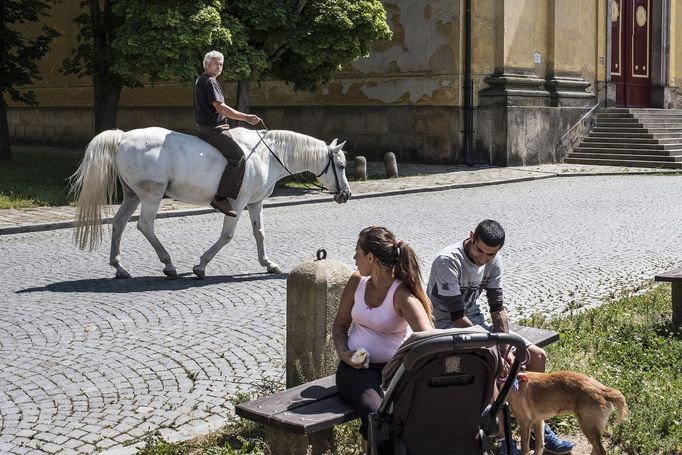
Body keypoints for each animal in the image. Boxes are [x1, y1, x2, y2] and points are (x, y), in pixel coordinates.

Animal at [70, 126, 350, 280]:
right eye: (342, 166)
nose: (346, 194)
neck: (267, 155)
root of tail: (123, 137)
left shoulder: (255, 203)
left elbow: (259, 233)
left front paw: (268, 264)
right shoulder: (238, 204)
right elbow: (226, 236)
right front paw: (201, 266)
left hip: (133, 195)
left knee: (118, 224)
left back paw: (119, 267)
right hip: (151, 195)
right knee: (145, 226)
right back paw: (169, 265)